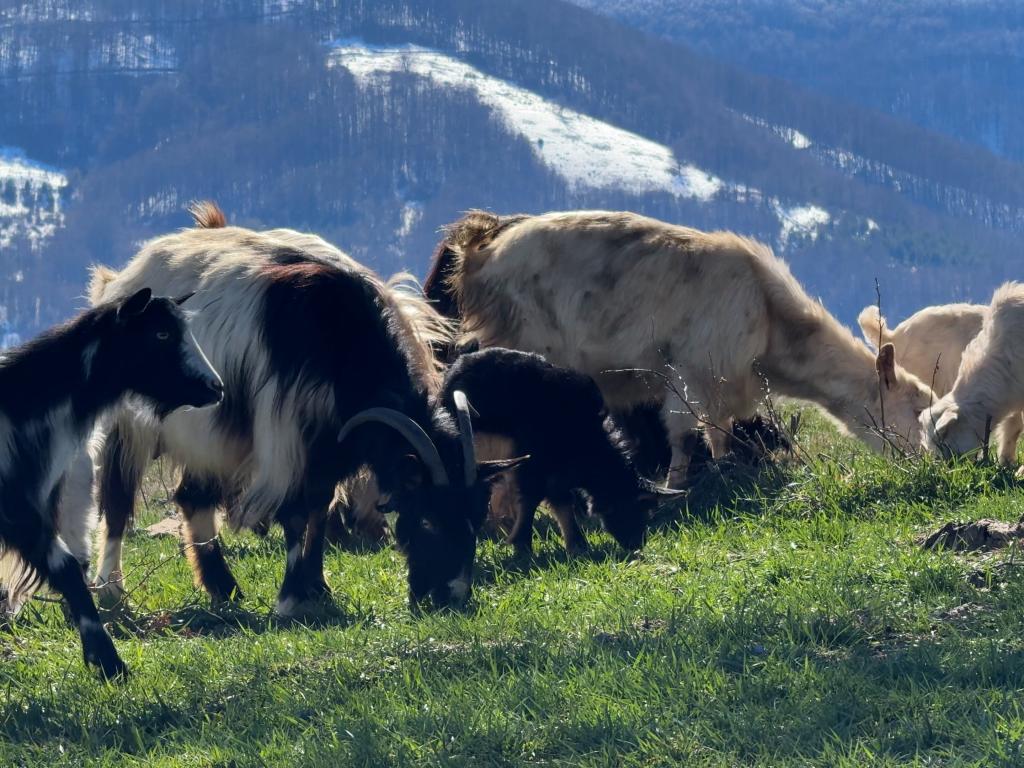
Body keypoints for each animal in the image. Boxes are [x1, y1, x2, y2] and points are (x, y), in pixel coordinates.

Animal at [88, 207, 520, 618]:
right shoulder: (287, 436)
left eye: (477, 516)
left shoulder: (331, 445)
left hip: (207, 438)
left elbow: (319, 508)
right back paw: (112, 592)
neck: (345, 345)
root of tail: (123, 276)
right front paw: (293, 599)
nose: (452, 596)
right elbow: (296, 512)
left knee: (192, 497)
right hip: (131, 426)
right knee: (117, 499)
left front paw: (318, 588)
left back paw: (223, 588)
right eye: (428, 517)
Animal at [428, 210, 933, 487]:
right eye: (916, 408)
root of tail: (479, 251)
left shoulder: (721, 387)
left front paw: (723, 473)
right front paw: (678, 488)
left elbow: (719, 435)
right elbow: (686, 437)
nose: (927, 462)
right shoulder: (691, 375)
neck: (770, 315)